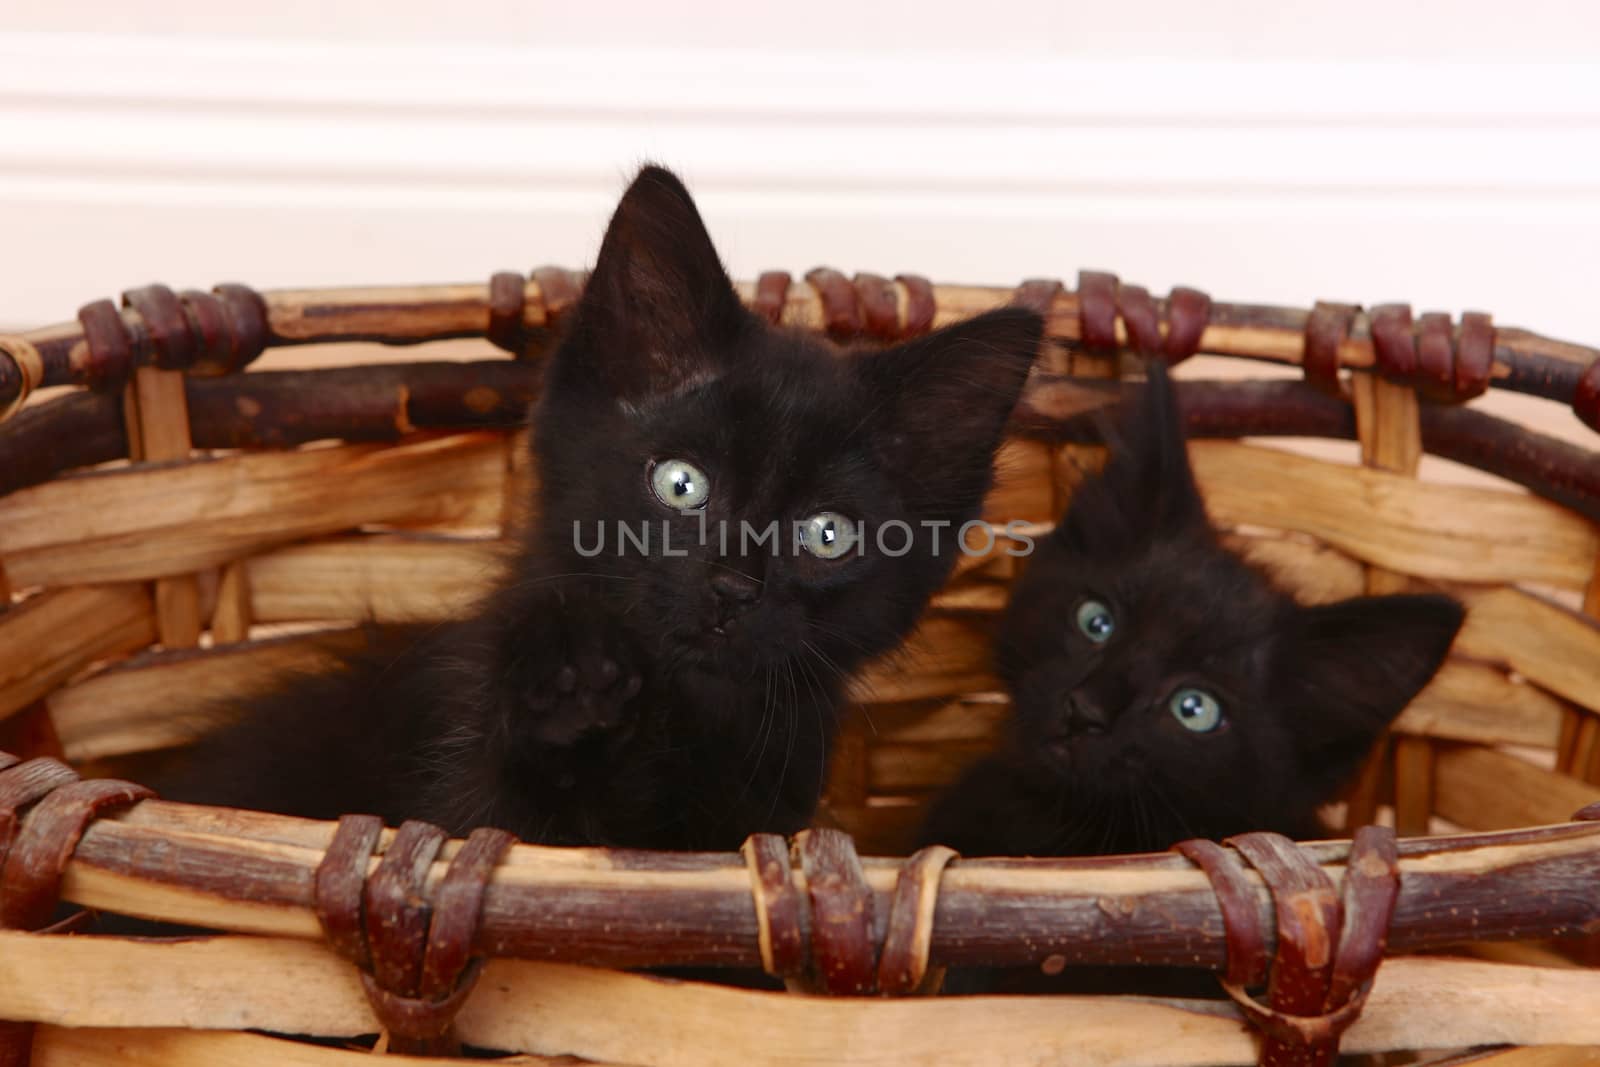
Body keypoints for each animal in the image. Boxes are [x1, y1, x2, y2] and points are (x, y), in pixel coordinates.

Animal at [156, 167, 1043, 851]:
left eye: (828, 534)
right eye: (680, 483)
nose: (732, 587)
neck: (681, 721)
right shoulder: (467, 788)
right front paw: (572, 672)